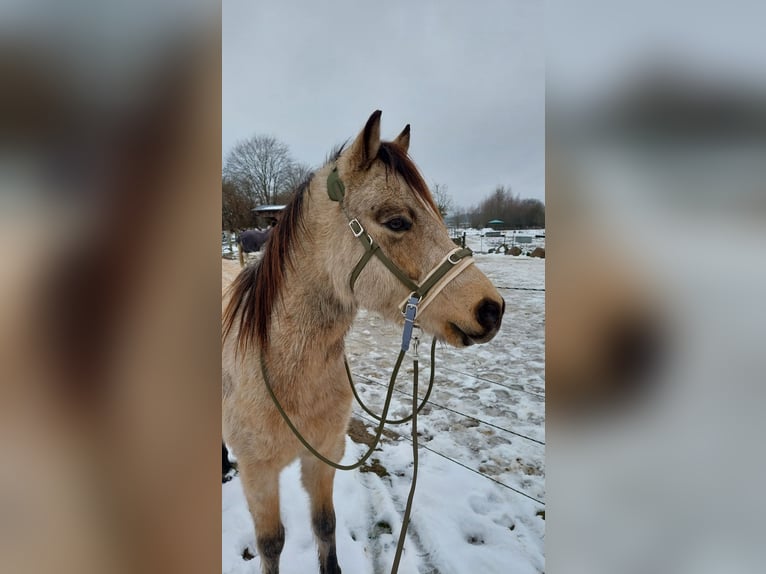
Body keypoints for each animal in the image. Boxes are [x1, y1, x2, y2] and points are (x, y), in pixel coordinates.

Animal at [222, 111, 508, 574]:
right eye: (397, 221)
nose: (491, 309)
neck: (285, 372)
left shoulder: (323, 456)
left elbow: (325, 525)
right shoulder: (259, 475)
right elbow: (271, 544)